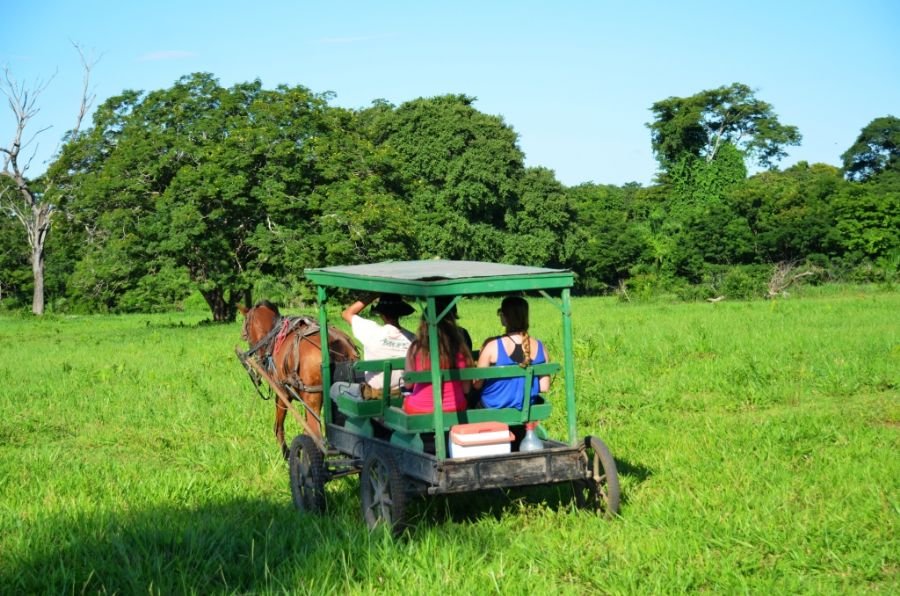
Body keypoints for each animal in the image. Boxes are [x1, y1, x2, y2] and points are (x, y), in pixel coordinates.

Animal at [239, 300, 358, 458]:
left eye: (246, 325)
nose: (259, 356)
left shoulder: (282, 392)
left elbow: (279, 426)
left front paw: (286, 454)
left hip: (312, 397)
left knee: (317, 435)